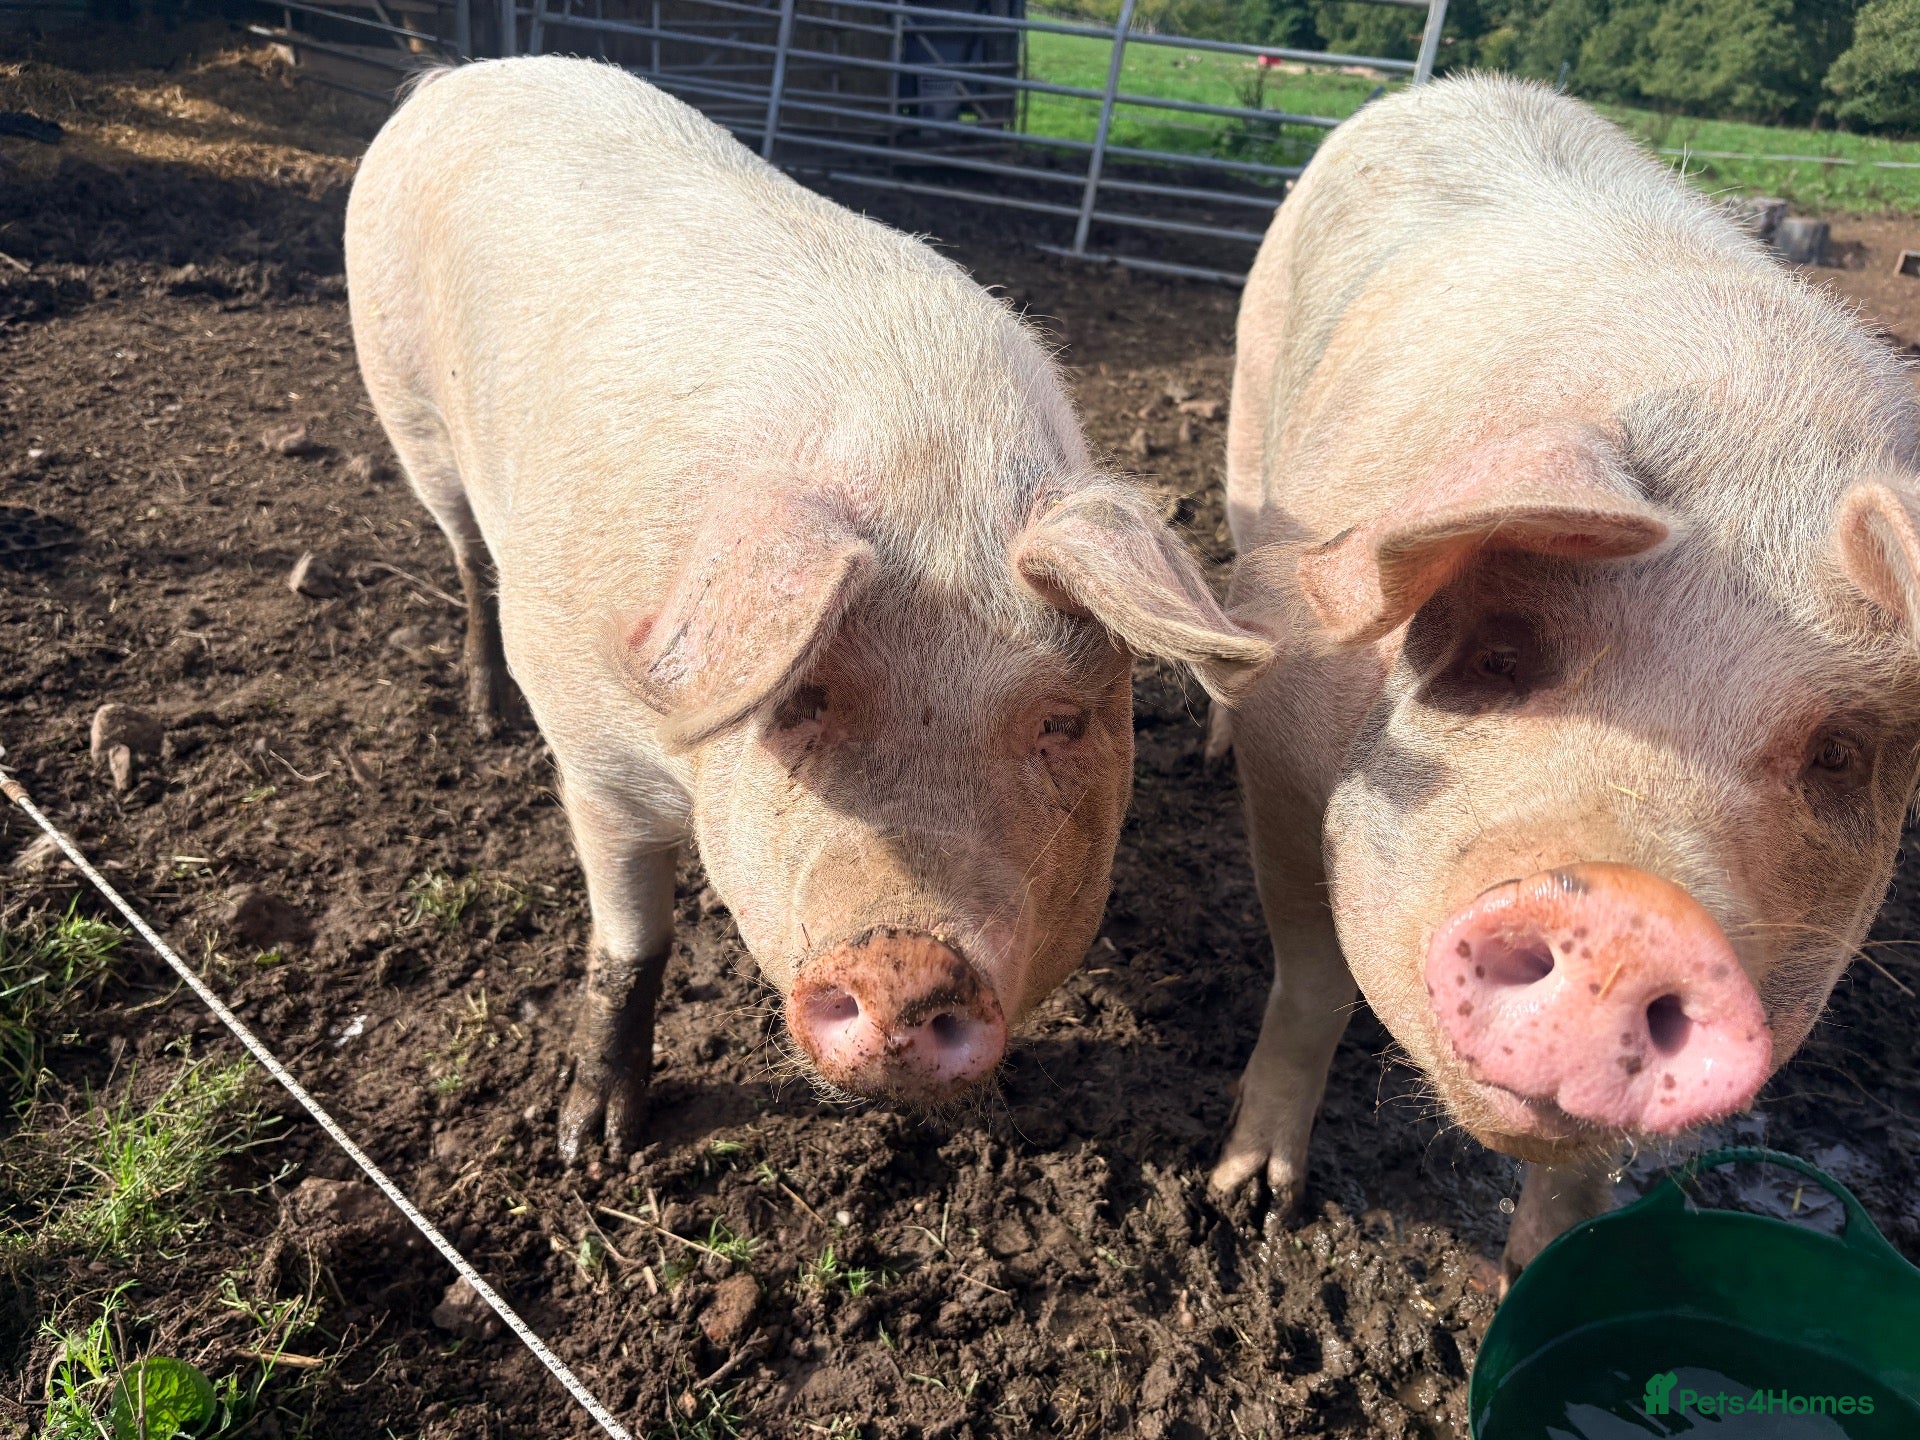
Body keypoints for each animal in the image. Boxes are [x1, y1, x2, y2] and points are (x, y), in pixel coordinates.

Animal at [344, 57, 1271, 1161]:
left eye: (1061, 721)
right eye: (798, 702)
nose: (906, 963)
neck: (929, 485)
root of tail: (455, 77)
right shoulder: (593, 752)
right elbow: (632, 943)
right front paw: (592, 1144)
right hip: (409, 414)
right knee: (465, 555)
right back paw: (485, 715)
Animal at [1212, 75, 1920, 1278]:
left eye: (1838, 752)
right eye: (1501, 653)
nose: (1636, 918)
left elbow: (1590, 1166)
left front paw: (1532, 1278)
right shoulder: (1288, 763)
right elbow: (1310, 978)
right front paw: (1251, 1202)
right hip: (1250, 408)